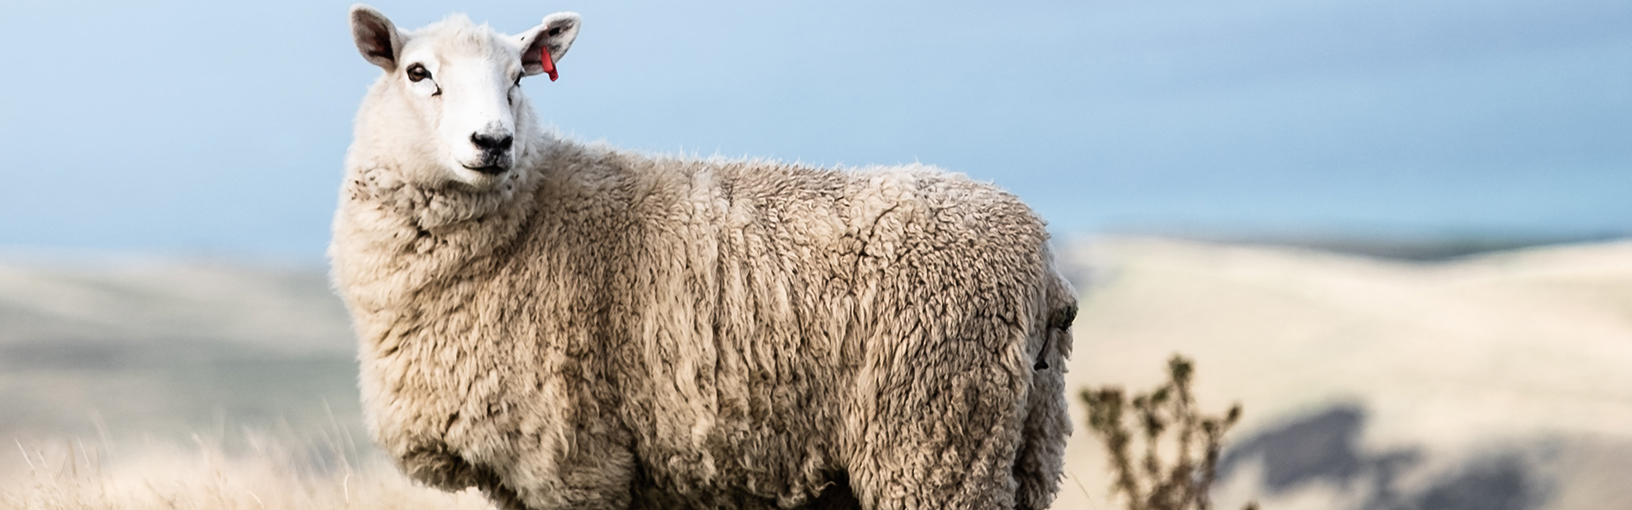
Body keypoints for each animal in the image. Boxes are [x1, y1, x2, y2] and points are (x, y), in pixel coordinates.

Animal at [332, 4, 1077, 510]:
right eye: (418, 72)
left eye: (519, 76)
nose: (493, 142)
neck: (532, 213)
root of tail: (1042, 257)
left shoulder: (575, 462)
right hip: (1025, 444)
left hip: (935, 439)